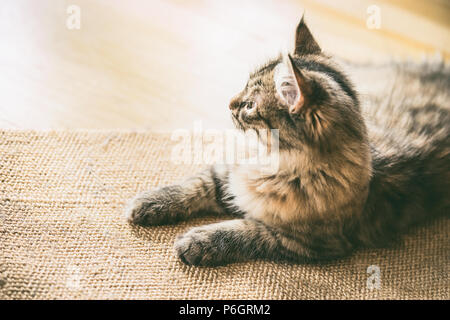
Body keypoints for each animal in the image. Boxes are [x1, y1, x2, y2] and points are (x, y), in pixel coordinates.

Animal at [124, 18, 450, 268]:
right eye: (243, 86)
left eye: (250, 105)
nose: (229, 102)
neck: (273, 162)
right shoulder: (228, 175)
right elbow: (193, 186)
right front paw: (148, 202)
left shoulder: (303, 241)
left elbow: (242, 231)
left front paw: (198, 241)